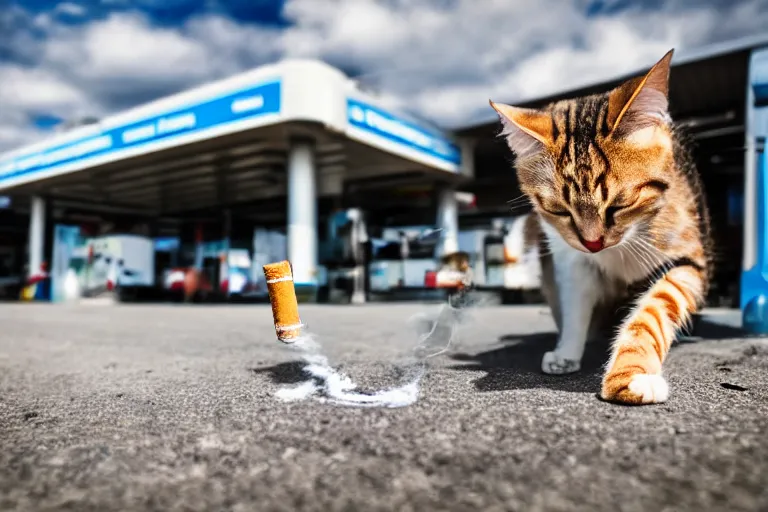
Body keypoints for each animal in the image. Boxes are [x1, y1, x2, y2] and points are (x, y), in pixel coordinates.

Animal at [492, 50, 712, 406]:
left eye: (620, 204)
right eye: (559, 210)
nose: (594, 243)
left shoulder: (686, 260)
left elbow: (654, 311)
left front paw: (632, 374)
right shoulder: (571, 259)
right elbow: (575, 306)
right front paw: (567, 351)